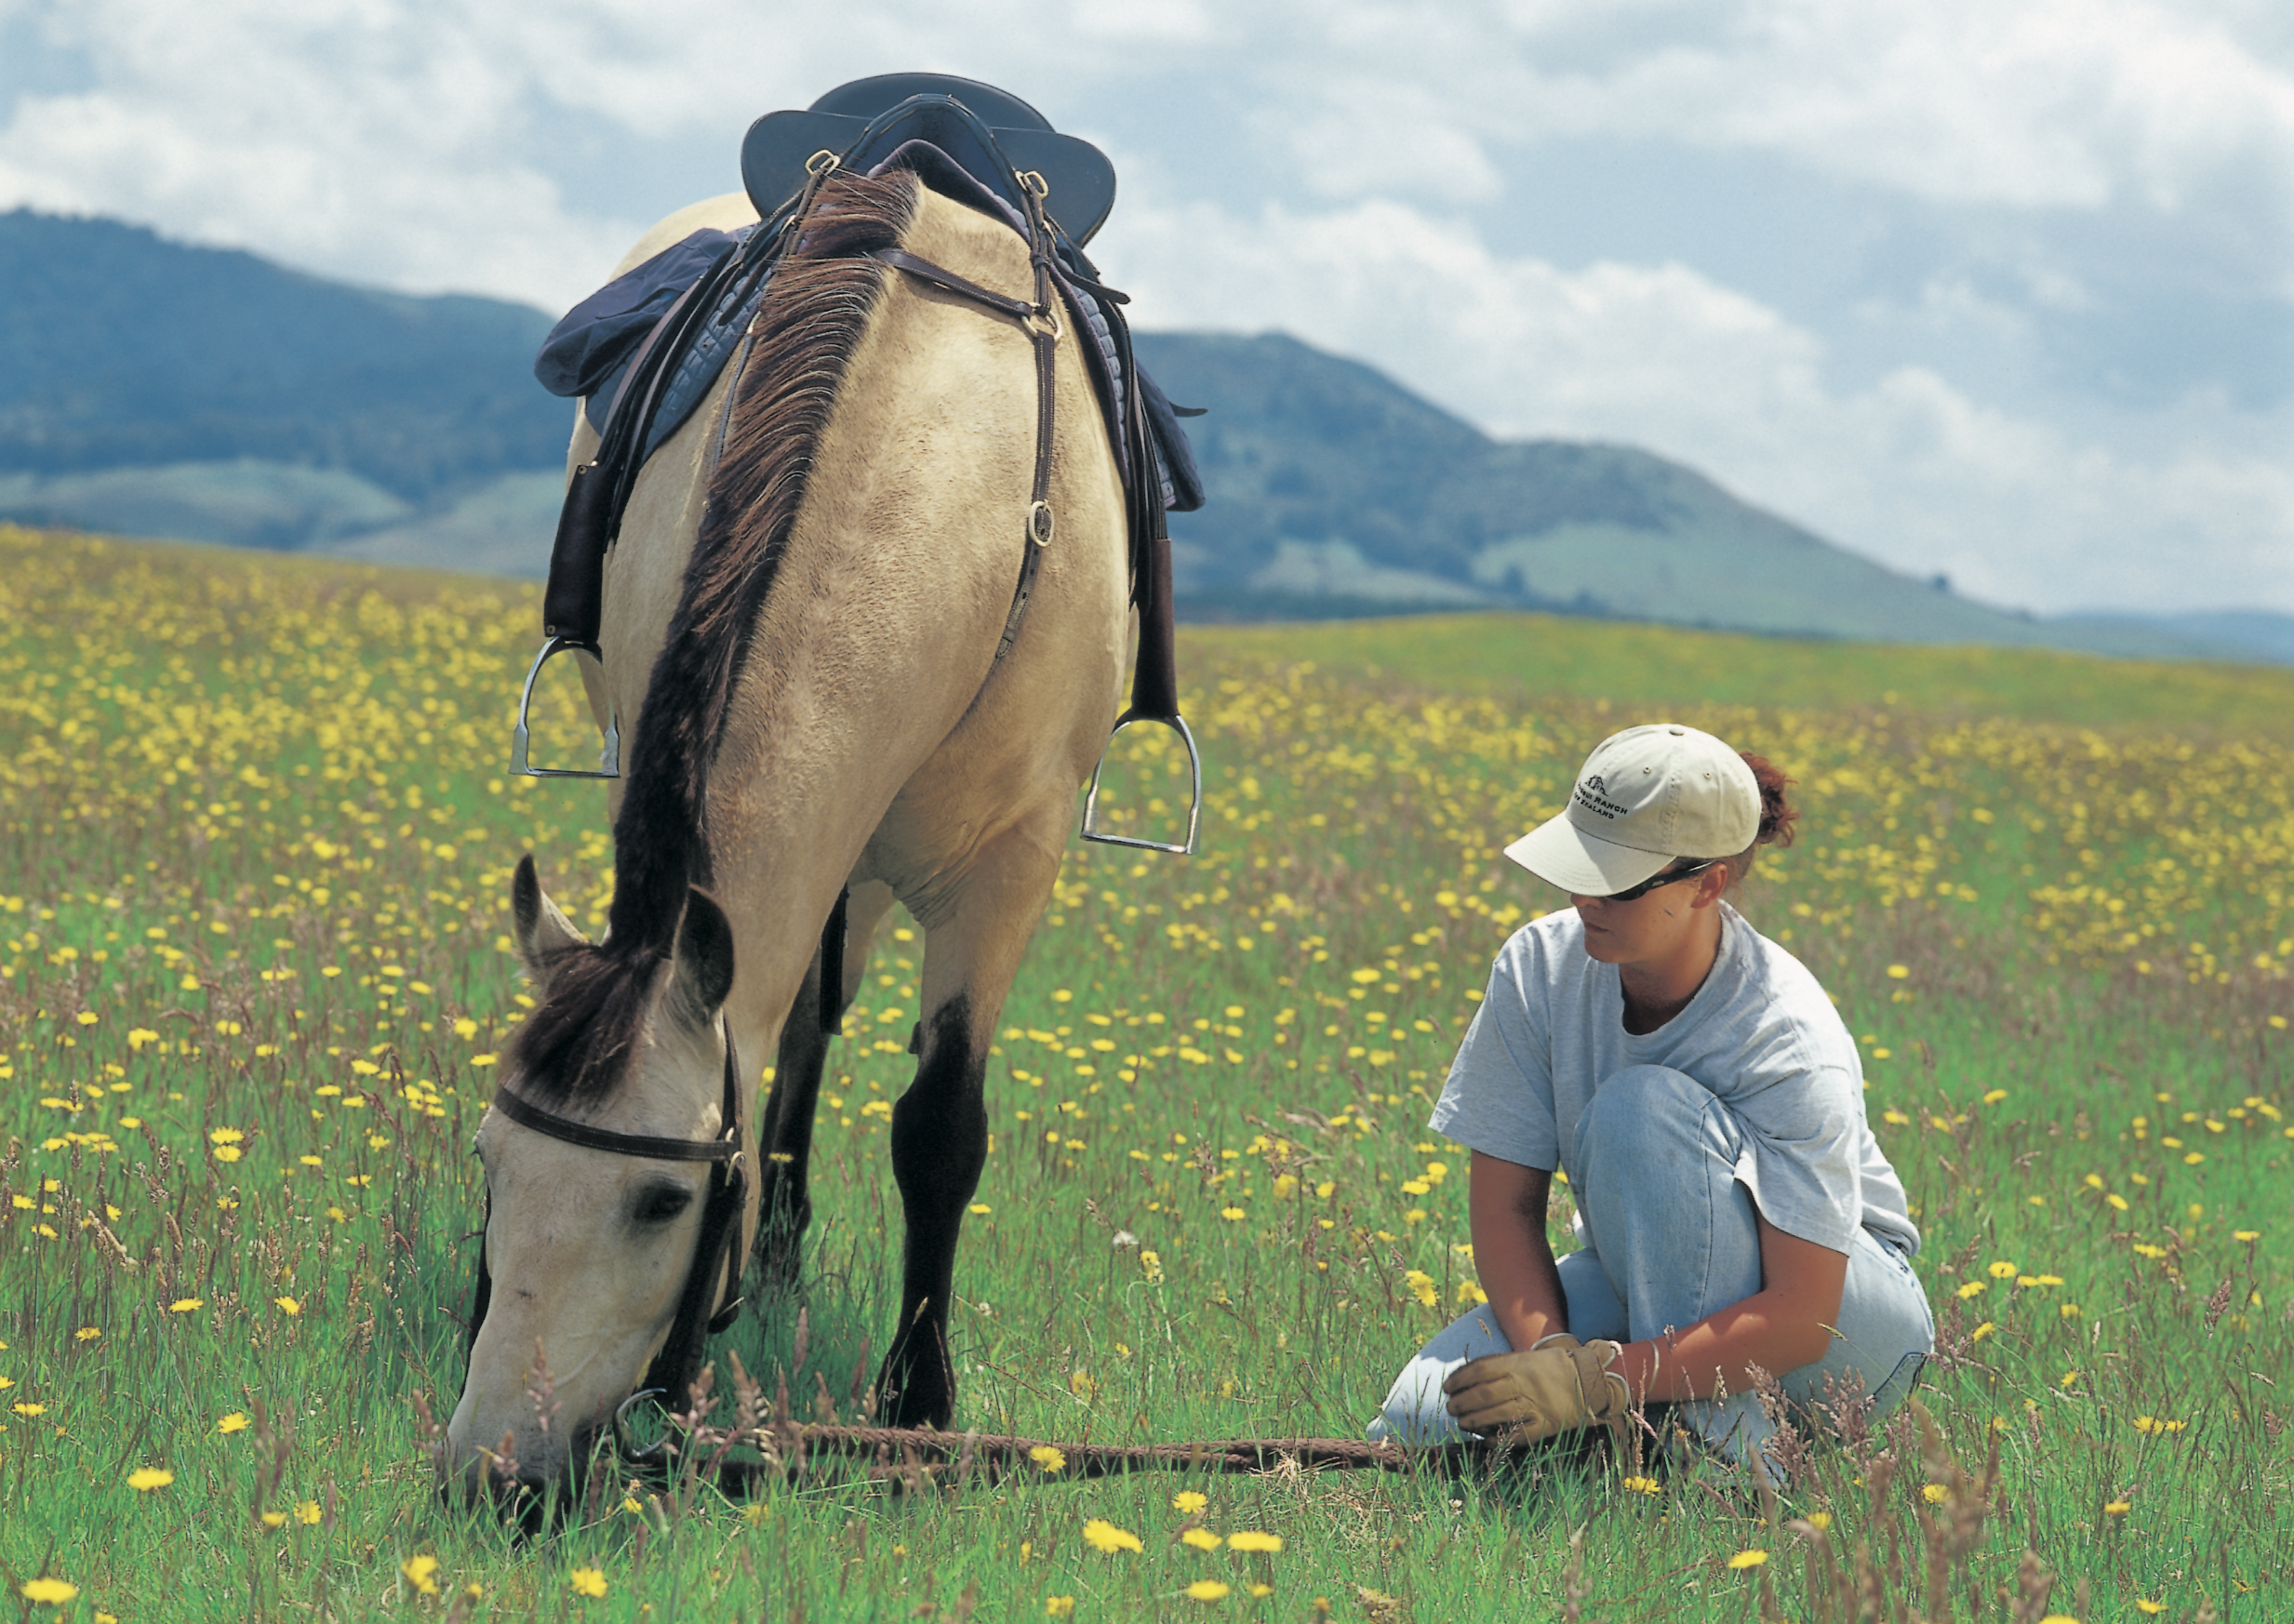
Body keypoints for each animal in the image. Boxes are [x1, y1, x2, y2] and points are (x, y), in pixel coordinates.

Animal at [451, 79, 1202, 1495]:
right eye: (491, 1160)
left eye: (663, 1201)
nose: (494, 1471)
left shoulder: (1008, 868)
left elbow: (939, 1128)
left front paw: (918, 1406)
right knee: (802, 1014)